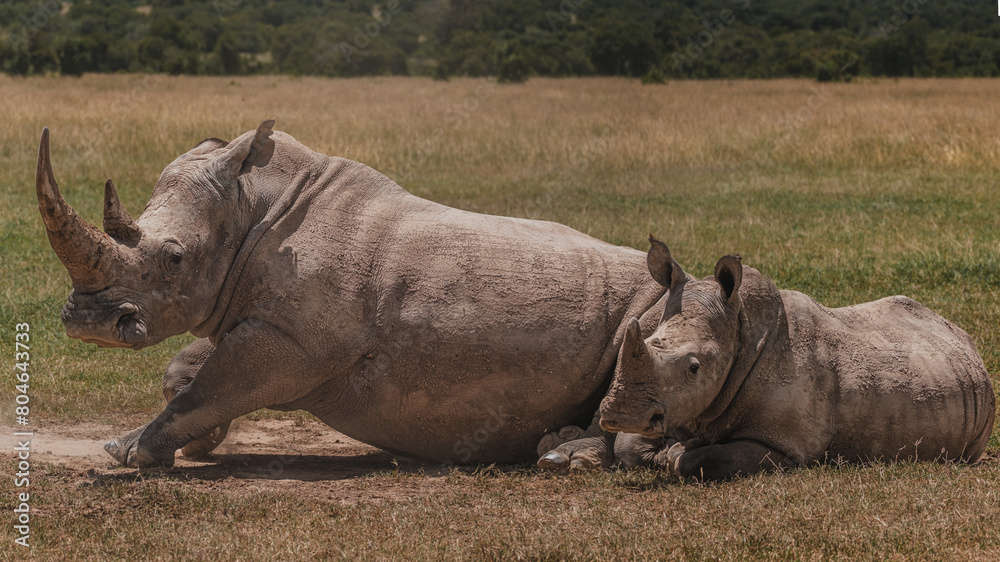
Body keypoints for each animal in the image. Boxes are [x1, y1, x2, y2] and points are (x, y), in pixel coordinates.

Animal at [35, 121, 668, 469]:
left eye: (173, 259)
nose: (89, 323)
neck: (249, 206)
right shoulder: (258, 318)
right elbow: (192, 374)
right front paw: (192, 444)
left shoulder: (294, 344)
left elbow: (214, 385)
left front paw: (130, 452)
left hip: (654, 297)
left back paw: (565, 457)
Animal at [599, 237, 996, 480]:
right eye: (650, 340)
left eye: (694, 368)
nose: (619, 416)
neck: (741, 330)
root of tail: (965, 338)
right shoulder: (683, 405)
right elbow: (627, 446)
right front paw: (667, 450)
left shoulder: (786, 444)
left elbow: (699, 460)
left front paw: (677, 453)